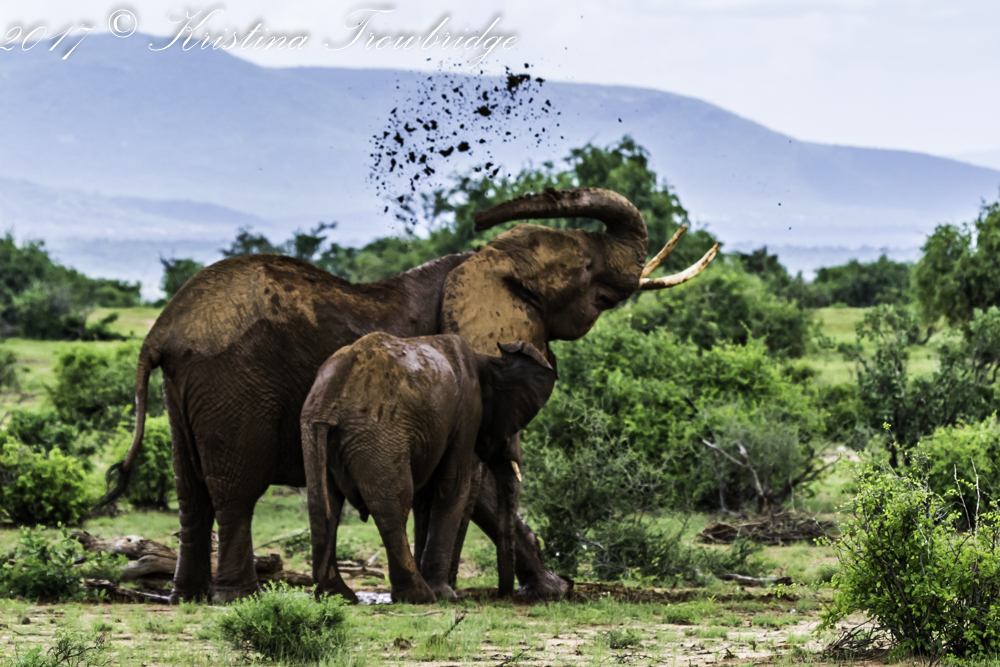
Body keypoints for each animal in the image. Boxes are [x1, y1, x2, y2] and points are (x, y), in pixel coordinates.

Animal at [300, 332, 556, 603]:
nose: (505, 595)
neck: (485, 358)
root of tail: (331, 398)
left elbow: (426, 497)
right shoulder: (468, 412)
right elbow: (453, 485)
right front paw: (444, 593)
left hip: (312, 430)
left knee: (322, 506)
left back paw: (337, 596)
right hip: (379, 434)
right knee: (393, 506)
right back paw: (419, 596)